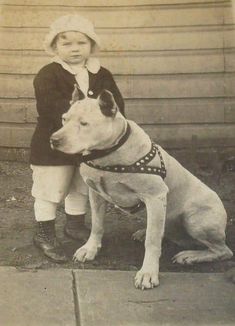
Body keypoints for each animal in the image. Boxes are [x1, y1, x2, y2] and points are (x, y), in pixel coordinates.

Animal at [50, 88, 232, 290]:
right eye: (64, 119)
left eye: (84, 123)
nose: (54, 140)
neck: (108, 153)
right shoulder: (96, 194)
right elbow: (97, 225)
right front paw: (90, 249)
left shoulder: (155, 197)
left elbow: (152, 241)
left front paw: (148, 273)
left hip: (195, 219)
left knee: (223, 251)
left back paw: (190, 256)